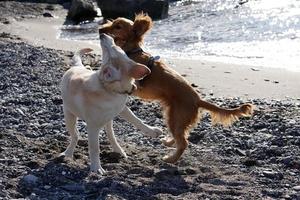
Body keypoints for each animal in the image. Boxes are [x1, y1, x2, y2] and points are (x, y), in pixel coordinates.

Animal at [60, 33, 151, 173]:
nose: (102, 34)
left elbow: (137, 120)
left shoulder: (122, 108)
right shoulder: (92, 127)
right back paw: (68, 153)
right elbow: (94, 148)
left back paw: (119, 150)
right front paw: (96, 168)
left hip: (108, 121)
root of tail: (77, 66)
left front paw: (153, 131)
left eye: (115, 47)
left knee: (110, 135)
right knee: (75, 136)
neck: (110, 90)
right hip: (69, 115)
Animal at [98, 13, 253, 163]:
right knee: (183, 135)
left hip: (175, 117)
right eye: (112, 22)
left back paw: (171, 159)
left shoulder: (134, 82)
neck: (131, 51)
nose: (100, 30)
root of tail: (198, 100)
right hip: (174, 117)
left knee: (184, 142)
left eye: (118, 27)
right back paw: (170, 143)